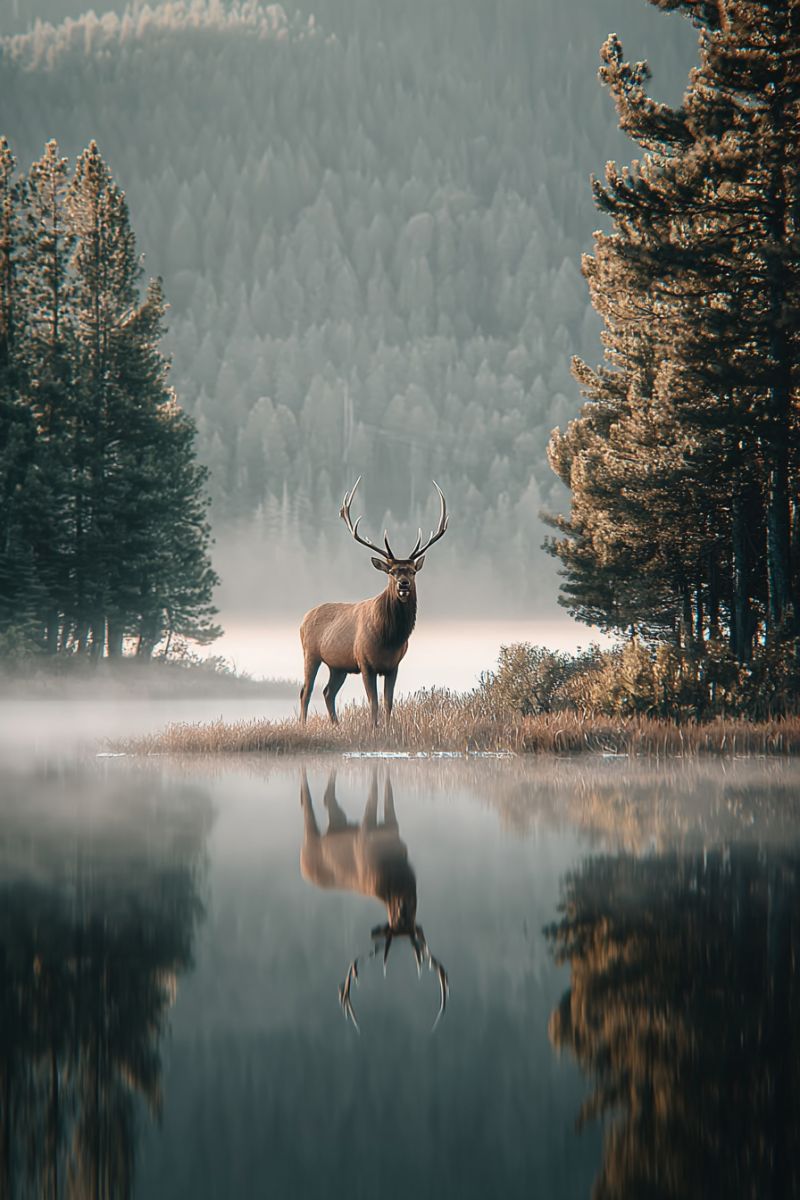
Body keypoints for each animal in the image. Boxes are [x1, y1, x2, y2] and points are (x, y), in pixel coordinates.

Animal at [299, 478, 448, 726]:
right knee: (306, 690)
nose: (403, 585)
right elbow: (374, 703)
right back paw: (303, 724)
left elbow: (388, 703)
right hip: (310, 653)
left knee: (328, 692)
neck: (389, 639)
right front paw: (373, 729)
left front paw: (387, 729)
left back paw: (336, 725)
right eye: (392, 572)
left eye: (412, 571)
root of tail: (304, 617)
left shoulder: (394, 665)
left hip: (338, 665)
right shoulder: (365, 662)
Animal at [300, 767, 448, 1032]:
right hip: (312, 840)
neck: (394, 877)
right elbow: (374, 797)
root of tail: (302, 868)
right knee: (310, 811)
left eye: (410, 918)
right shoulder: (366, 832)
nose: (402, 908)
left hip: (339, 824)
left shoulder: (391, 826)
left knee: (329, 801)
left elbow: (387, 796)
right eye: (393, 918)